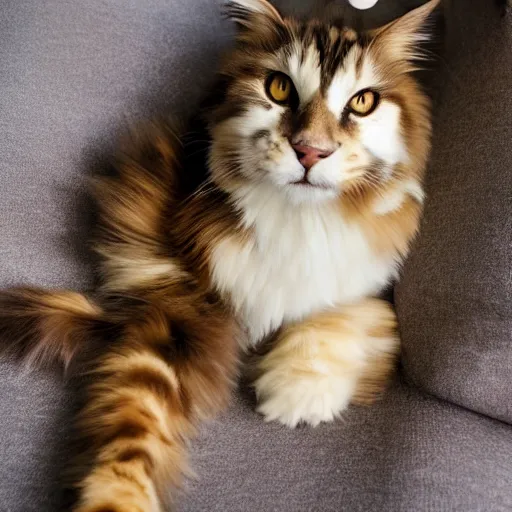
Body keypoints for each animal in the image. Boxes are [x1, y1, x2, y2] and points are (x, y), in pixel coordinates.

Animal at [0, 1, 440, 512]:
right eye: (279, 88)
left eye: (362, 102)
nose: (310, 151)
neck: (297, 218)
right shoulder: (176, 307)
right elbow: (133, 430)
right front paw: (117, 499)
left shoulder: (375, 284)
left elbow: (345, 316)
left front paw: (296, 393)